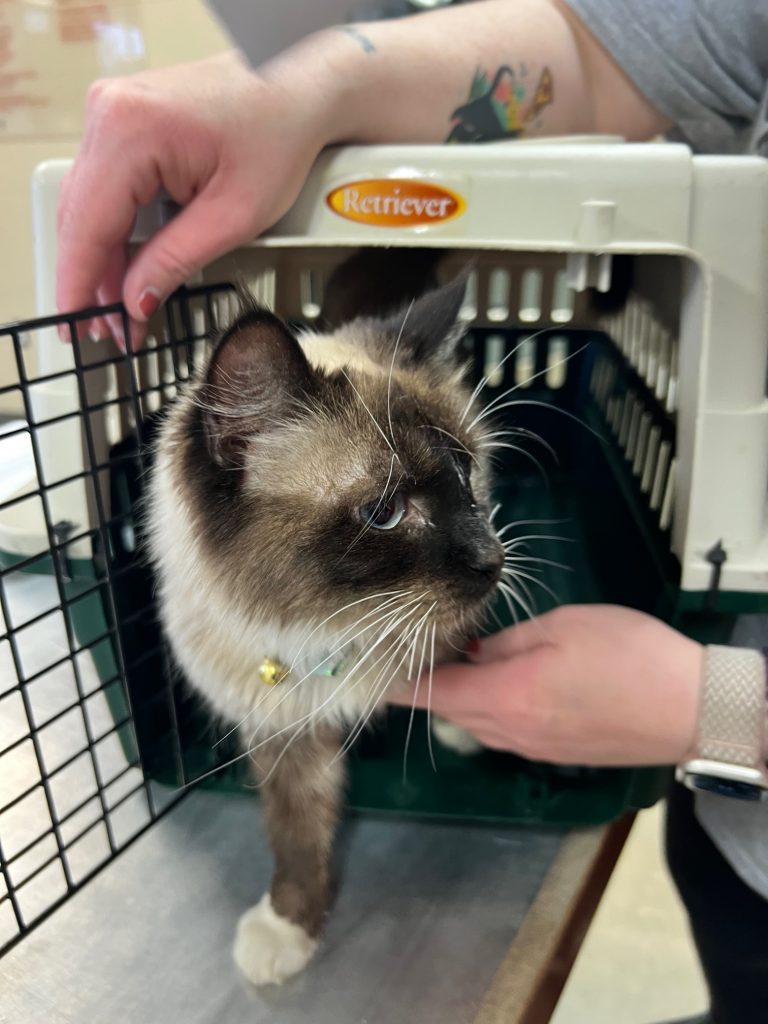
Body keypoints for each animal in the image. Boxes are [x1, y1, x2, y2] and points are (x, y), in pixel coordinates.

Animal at [147, 254, 504, 985]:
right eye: (384, 513)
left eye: (465, 475)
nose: (494, 560)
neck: (333, 622)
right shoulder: (286, 737)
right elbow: (297, 842)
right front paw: (287, 931)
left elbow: (454, 648)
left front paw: (462, 721)